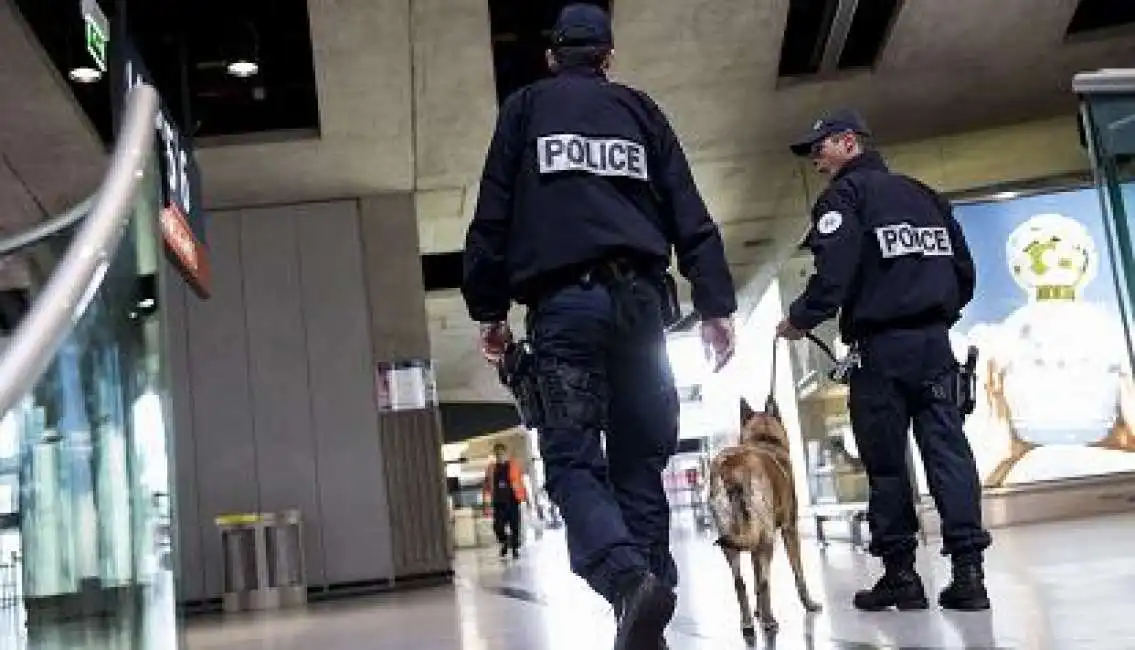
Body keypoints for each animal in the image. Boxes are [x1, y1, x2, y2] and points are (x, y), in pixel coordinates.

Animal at [703, 397, 821, 635]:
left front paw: (757, 611)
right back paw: (768, 620)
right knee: (765, 581)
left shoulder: (752, 539)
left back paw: (748, 622)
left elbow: (755, 577)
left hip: (734, 541)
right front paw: (809, 603)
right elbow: (797, 572)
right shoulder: (789, 530)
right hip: (767, 539)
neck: (764, 440)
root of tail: (732, 463)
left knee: (739, 582)